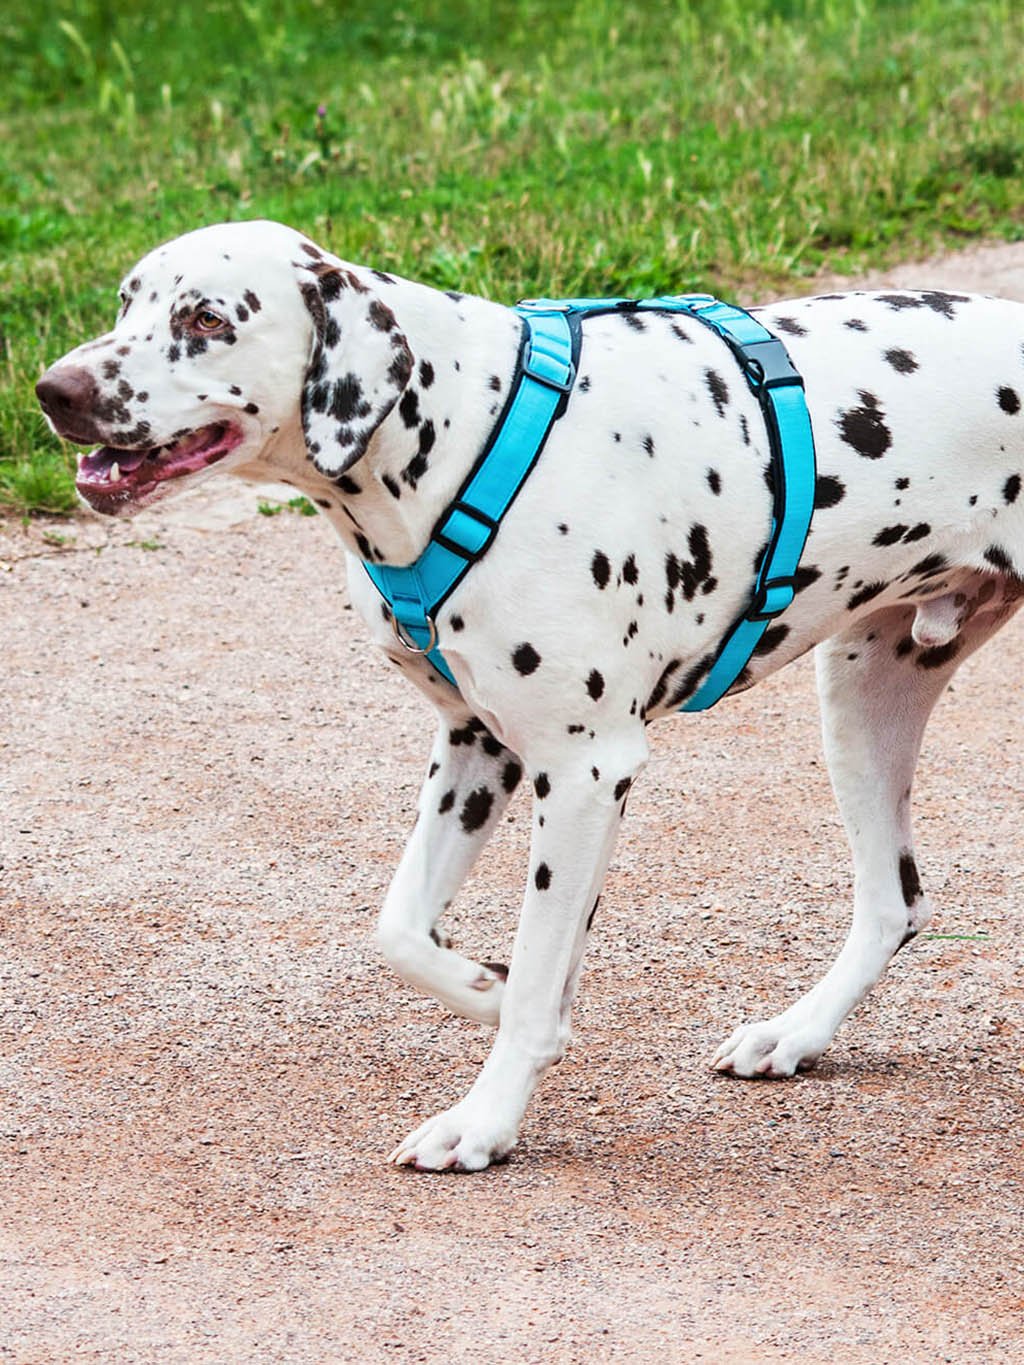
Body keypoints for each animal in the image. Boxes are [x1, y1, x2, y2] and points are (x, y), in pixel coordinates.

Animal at [38, 221, 1024, 1173]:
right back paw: (796, 1033)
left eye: (207, 318)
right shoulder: (475, 747)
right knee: (894, 902)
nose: (53, 389)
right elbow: (401, 930)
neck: (461, 432)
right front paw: (486, 987)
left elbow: (535, 970)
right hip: (865, 692)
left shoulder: (586, 770)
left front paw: (483, 1121)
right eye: (126, 301)